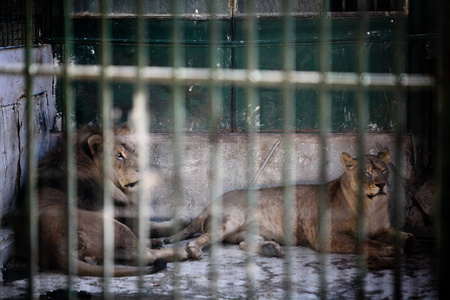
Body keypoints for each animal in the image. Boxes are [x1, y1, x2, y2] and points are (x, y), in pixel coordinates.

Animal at [15, 123, 185, 276]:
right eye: (119, 156)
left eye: (133, 150)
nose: (144, 168)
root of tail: (56, 246)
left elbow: (153, 226)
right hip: (115, 226)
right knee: (143, 255)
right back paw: (180, 252)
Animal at [164, 149, 418, 268]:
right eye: (366, 173)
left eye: (384, 170)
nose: (382, 185)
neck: (372, 206)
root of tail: (212, 202)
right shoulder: (327, 236)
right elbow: (365, 242)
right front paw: (390, 249)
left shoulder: (384, 228)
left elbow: (397, 235)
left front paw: (409, 240)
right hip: (229, 221)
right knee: (201, 239)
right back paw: (193, 251)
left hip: (244, 231)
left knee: (245, 244)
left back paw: (270, 249)